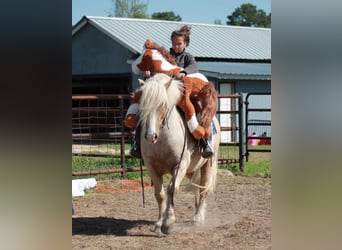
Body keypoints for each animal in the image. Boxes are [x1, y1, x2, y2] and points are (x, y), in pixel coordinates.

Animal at [137, 73, 220, 234]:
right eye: (143, 105)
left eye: (162, 105)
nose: (150, 136)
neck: (162, 139)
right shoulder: (151, 167)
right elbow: (160, 194)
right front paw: (159, 223)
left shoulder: (180, 166)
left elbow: (171, 189)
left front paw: (168, 222)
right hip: (192, 169)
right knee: (196, 188)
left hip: (207, 164)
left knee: (204, 188)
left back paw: (198, 218)